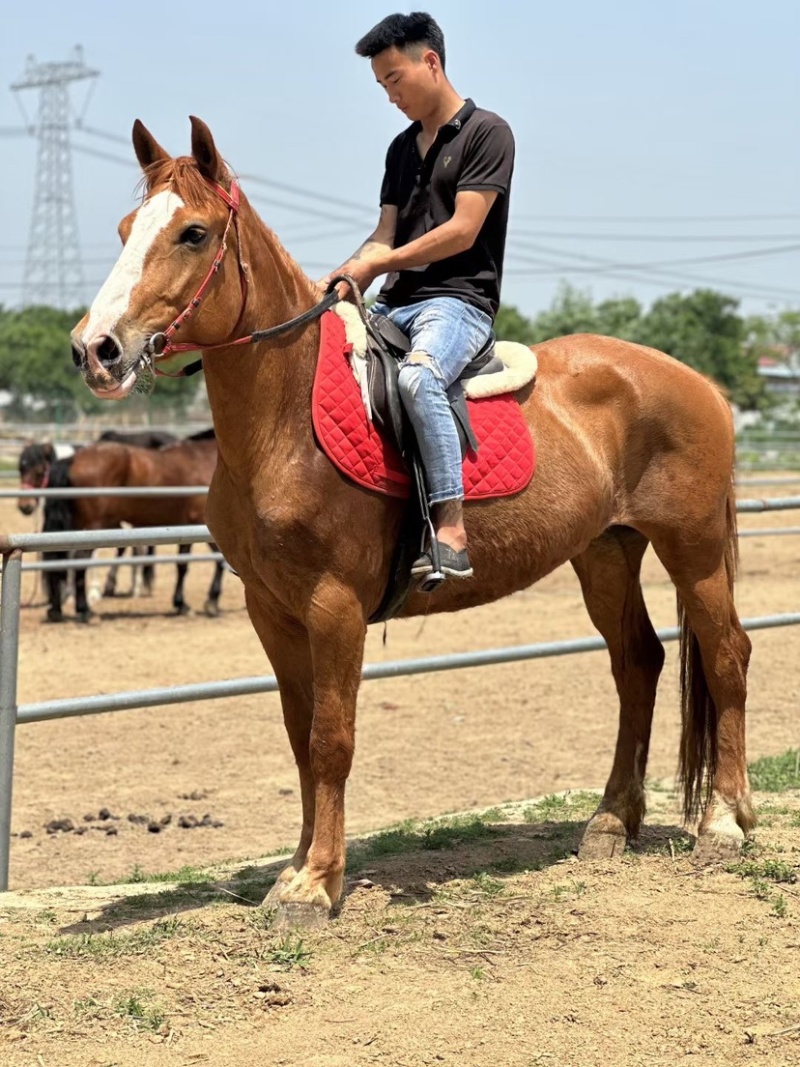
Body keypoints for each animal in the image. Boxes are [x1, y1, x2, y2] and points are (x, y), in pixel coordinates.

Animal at [42, 436, 225, 621]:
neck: (204, 459)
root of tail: (74, 459)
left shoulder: (186, 528)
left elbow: (182, 566)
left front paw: (181, 604)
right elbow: (220, 561)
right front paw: (211, 602)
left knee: (58, 560)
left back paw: (56, 610)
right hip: (94, 526)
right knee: (79, 561)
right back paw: (84, 610)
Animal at [69, 117, 753, 928]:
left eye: (193, 233)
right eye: (125, 229)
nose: (95, 349)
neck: (284, 421)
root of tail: (698, 382)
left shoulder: (334, 607)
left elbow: (331, 739)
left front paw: (316, 883)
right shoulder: (271, 609)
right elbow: (300, 736)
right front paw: (296, 868)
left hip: (693, 548)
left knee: (726, 656)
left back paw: (724, 822)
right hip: (605, 552)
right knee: (637, 663)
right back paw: (612, 821)